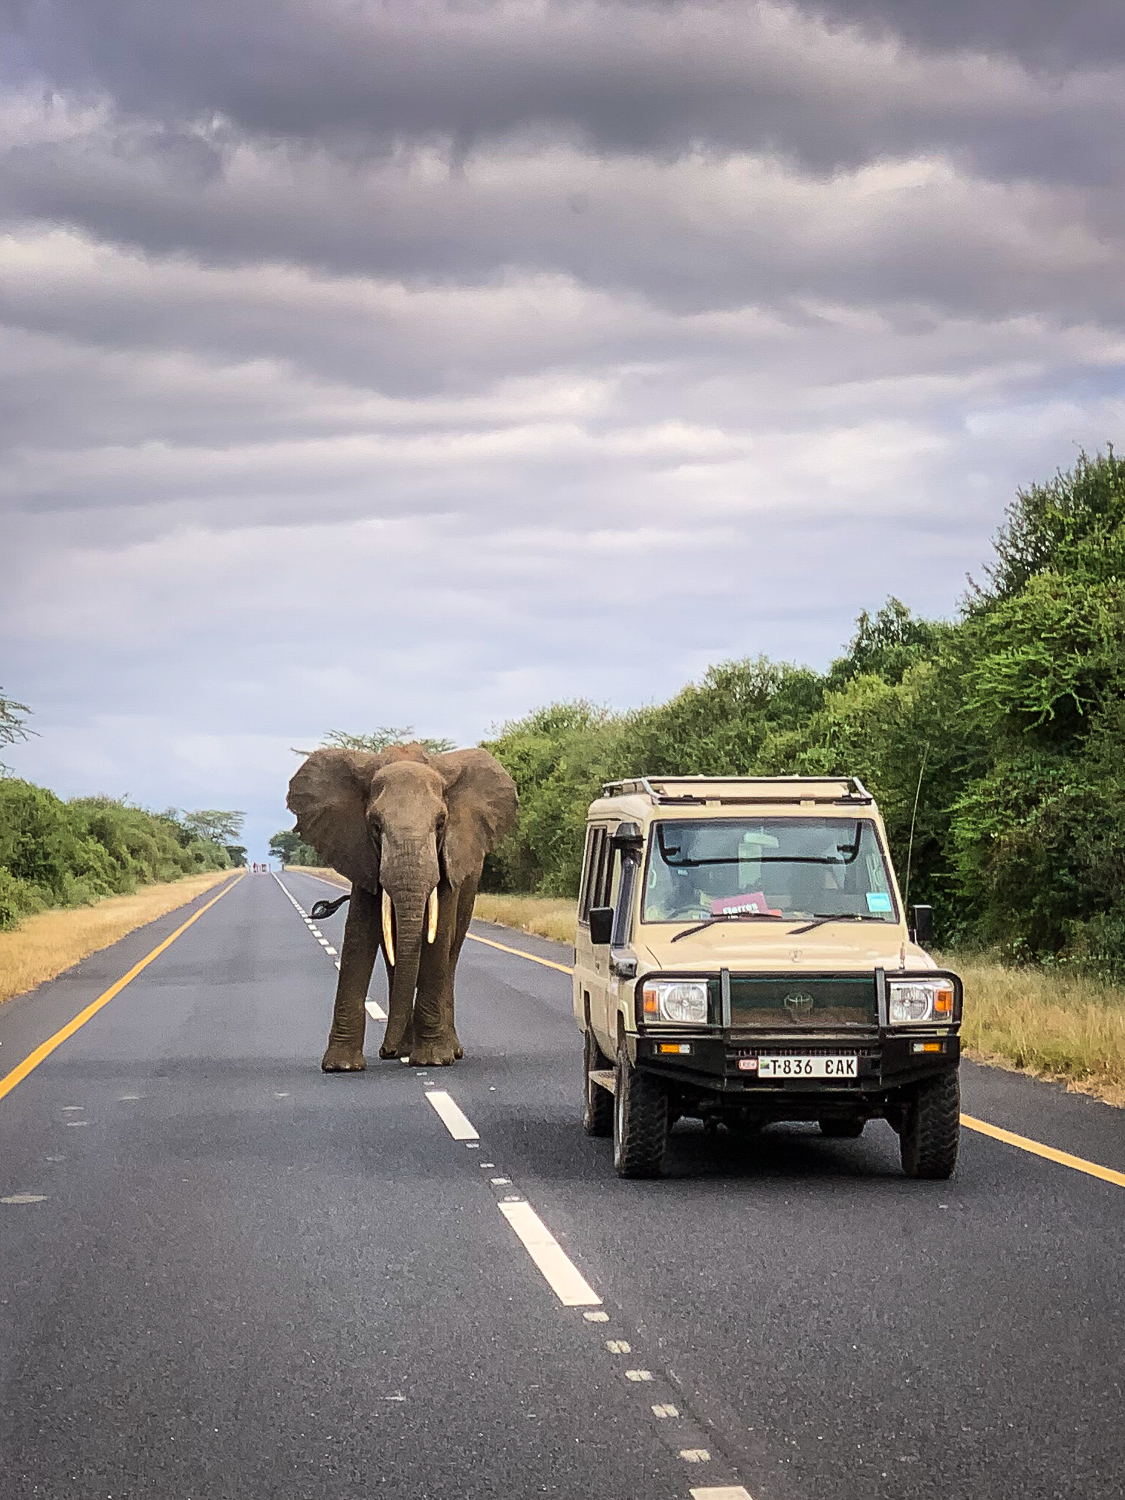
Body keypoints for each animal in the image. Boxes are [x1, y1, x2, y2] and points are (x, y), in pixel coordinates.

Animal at [288, 738, 522, 1068]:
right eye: (375, 825)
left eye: (441, 823)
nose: (387, 1049)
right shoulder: (359, 851)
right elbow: (359, 933)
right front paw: (341, 1066)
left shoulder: (450, 857)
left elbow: (438, 937)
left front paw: (432, 1060)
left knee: (451, 950)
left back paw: (445, 1050)